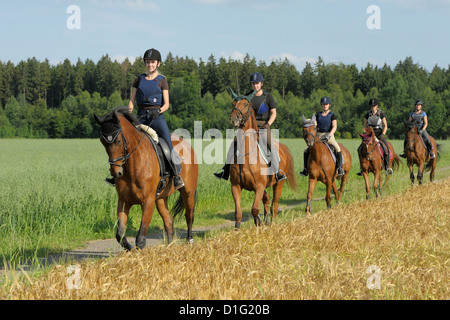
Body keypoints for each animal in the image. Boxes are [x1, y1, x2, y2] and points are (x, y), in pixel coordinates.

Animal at [94, 107, 198, 250]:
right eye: (102, 141)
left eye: (118, 141)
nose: (116, 173)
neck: (133, 166)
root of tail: (188, 145)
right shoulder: (124, 201)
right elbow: (120, 234)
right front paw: (130, 248)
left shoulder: (147, 201)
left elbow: (141, 238)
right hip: (161, 198)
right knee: (168, 221)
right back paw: (169, 247)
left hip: (188, 192)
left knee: (189, 216)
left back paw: (189, 241)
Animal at [230, 92, 298, 228]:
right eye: (233, 103)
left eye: (245, 104)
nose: (234, 119)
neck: (246, 156)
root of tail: (283, 147)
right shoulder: (236, 186)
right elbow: (238, 213)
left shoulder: (259, 186)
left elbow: (255, 209)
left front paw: (259, 224)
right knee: (266, 200)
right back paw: (266, 220)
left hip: (279, 183)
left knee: (274, 205)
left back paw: (271, 223)